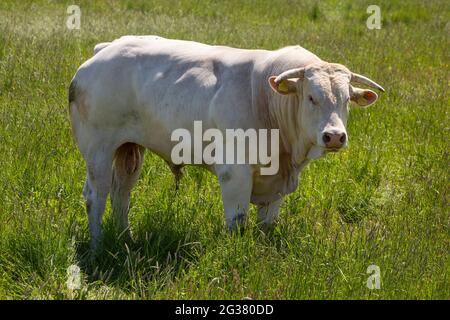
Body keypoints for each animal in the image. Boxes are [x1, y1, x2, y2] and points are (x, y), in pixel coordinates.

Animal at [68, 35, 384, 250]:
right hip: (98, 150)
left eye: (346, 99)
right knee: (96, 195)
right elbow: (237, 220)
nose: (334, 136)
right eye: (311, 97)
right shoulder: (235, 173)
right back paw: (97, 245)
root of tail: (106, 48)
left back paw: (126, 238)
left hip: (129, 149)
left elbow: (267, 225)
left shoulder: (276, 182)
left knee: (122, 191)